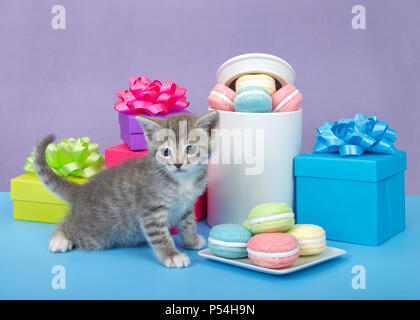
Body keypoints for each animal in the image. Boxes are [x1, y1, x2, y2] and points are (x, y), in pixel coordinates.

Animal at [34, 110, 218, 268]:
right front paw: (172, 255)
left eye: (190, 148)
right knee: (67, 225)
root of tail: (82, 190)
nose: (178, 164)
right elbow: (161, 236)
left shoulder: (187, 206)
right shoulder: (151, 210)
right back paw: (59, 239)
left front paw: (191, 241)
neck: (182, 180)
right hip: (93, 234)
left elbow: (188, 224)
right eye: (166, 151)